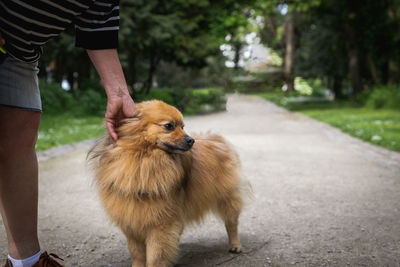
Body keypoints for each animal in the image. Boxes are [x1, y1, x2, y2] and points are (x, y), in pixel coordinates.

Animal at [89, 101, 248, 267]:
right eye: (169, 126)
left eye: (183, 126)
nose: (191, 140)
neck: (143, 160)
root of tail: (216, 140)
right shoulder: (131, 223)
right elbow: (137, 254)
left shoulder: (159, 226)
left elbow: (155, 257)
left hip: (227, 198)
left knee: (232, 223)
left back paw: (235, 245)